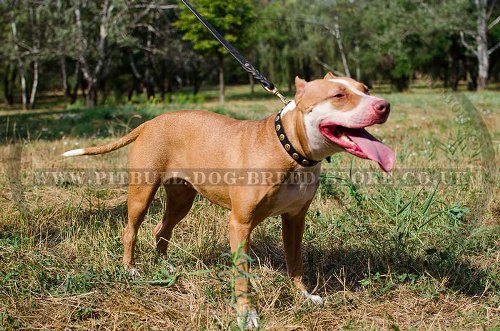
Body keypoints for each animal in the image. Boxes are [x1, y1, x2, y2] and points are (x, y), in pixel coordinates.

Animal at [63, 72, 394, 330]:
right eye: (338, 95)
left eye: (365, 89)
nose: (384, 105)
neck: (289, 149)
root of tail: (150, 123)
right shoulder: (240, 224)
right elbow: (242, 276)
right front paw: (247, 316)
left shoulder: (295, 221)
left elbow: (295, 262)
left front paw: (303, 296)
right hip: (142, 194)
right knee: (130, 229)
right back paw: (131, 270)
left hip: (182, 199)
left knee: (162, 229)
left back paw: (166, 267)